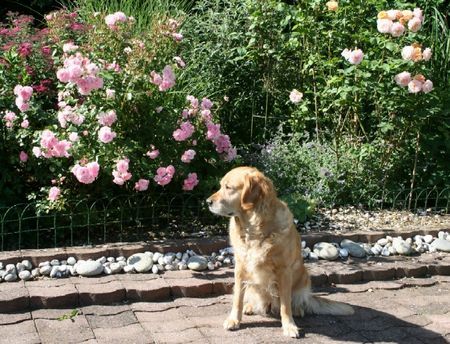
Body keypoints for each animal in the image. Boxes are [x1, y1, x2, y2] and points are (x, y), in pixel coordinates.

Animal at [206, 167, 354, 338]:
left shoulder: (284, 271)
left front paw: (289, 326)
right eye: (221, 186)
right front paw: (234, 320)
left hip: (304, 279)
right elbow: (237, 298)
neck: (255, 229)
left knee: (296, 302)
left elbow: (285, 305)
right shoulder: (240, 268)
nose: (207, 202)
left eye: (228, 187)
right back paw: (249, 307)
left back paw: (297, 310)